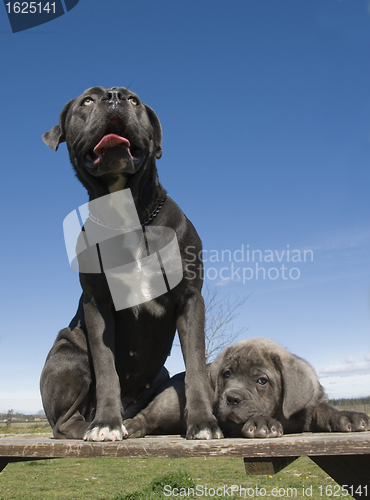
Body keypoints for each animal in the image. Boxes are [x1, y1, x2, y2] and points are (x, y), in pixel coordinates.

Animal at [39, 86, 221, 442]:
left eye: (134, 100)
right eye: (87, 100)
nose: (113, 96)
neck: (126, 216)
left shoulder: (190, 299)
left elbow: (195, 364)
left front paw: (203, 422)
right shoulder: (97, 305)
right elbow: (106, 367)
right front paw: (106, 423)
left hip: (159, 373)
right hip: (69, 353)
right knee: (63, 423)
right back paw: (96, 423)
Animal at [123, 336, 370, 438]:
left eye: (262, 380)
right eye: (226, 374)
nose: (232, 398)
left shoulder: (310, 406)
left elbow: (325, 410)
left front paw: (348, 416)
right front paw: (263, 424)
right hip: (171, 402)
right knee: (148, 416)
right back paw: (131, 426)